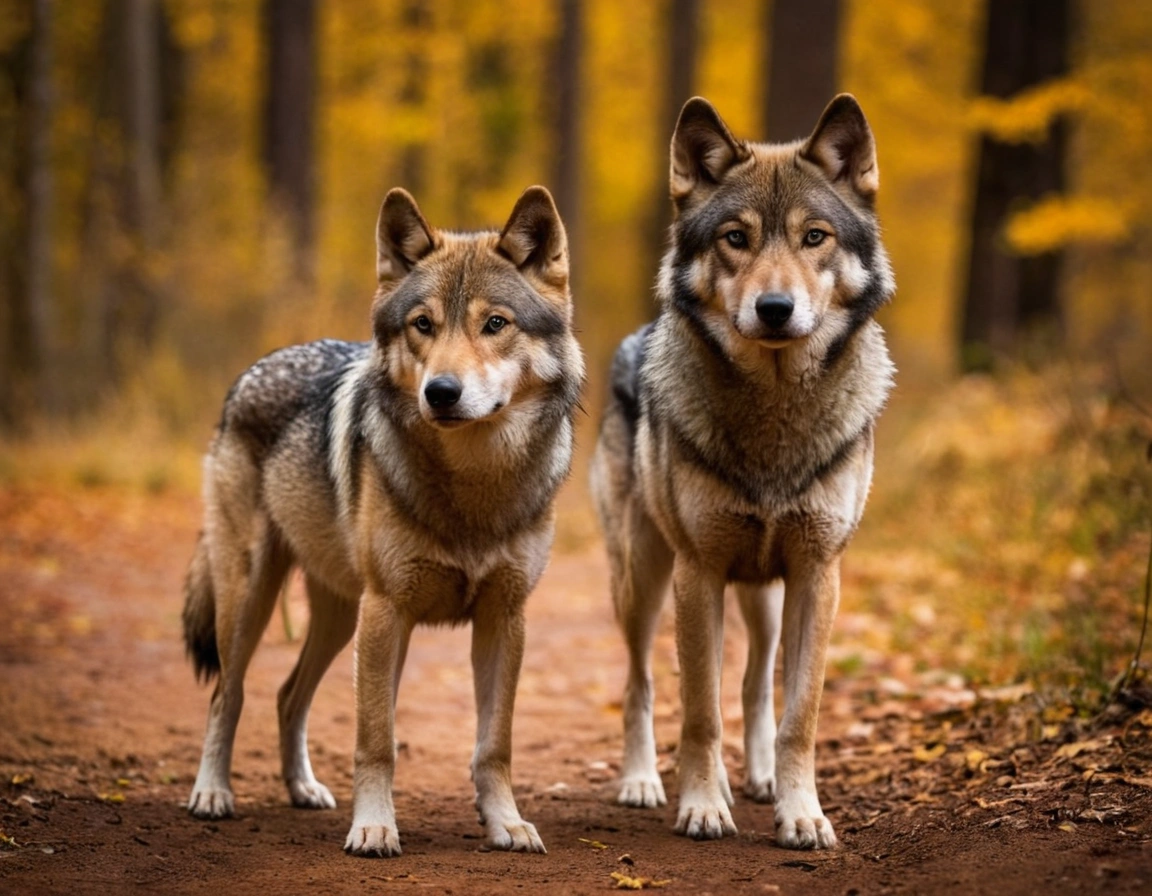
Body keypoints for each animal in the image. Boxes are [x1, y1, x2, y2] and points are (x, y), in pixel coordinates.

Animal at [185, 185, 589, 856]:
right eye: (423, 324)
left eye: (495, 323)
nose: (441, 392)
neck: (473, 486)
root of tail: (252, 370)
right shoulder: (387, 612)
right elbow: (376, 740)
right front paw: (373, 826)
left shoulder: (505, 618)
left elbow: (494, 743)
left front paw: (506, 823)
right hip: (254, 599)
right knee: (228, 693)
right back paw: (212, 793)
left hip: (337, 618)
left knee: (287, 695)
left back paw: (304, 790)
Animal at [594, 94, 898, 847]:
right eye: (737, 237)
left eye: (815, 237)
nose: (775, 309)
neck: (776, 416)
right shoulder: (697, 573)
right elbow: (700, 712)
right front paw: (702, 806)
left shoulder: (818, 574)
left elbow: (799, 714)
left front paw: (801, 813)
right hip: (643, 579)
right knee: (642, 684)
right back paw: (642, 782)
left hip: (762, 595)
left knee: (757, 684)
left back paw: (757, 779)